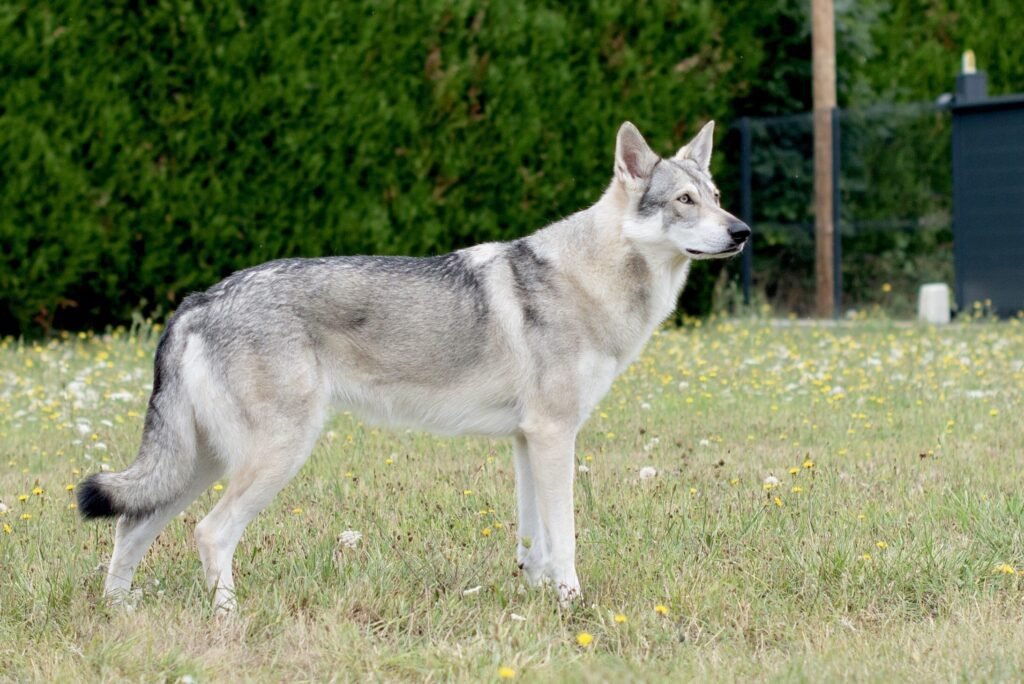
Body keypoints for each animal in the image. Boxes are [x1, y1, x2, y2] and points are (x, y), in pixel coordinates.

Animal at [78, 121, 750, 611]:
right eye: (684, 201)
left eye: (716, 199)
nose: (742, 232)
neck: (591, 278)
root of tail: (199, 298)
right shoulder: (555, 436)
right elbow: (565, 541)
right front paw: (572, 605)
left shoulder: (528, 441)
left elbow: (534, 541)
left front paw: (537, 603)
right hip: (270, 457)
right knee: (209, 533)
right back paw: (227, 620)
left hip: (201, 462)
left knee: (129, 528)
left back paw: (120, 612)